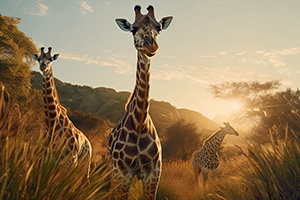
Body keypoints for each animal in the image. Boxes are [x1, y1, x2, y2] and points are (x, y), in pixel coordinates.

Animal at [31, 47, 91, 176]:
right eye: (38, 58)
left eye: (50, 59)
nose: (43, 67)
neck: (52, 124)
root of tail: (89, 144)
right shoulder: (46, 159)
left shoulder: (69, 161)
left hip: (84, 164)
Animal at [107, 5, 173, 199]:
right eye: (133, 29)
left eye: (159, 27)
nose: (151, 46)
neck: (139, 123)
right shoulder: (122, 173)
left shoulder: (153, 173)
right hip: (112, 169)